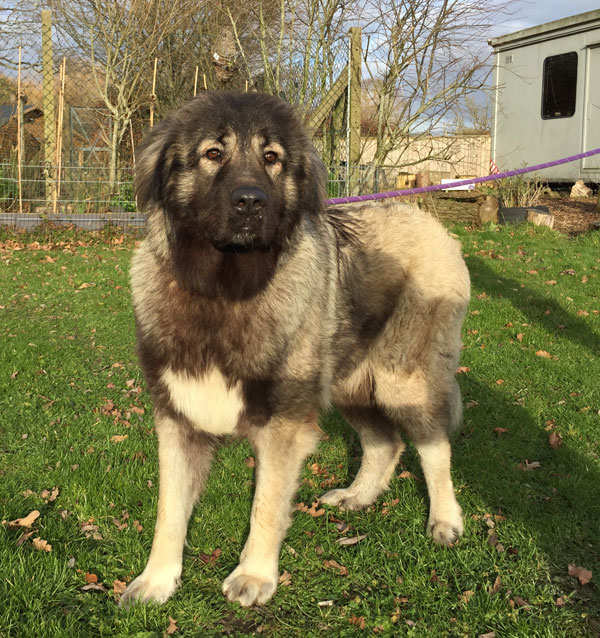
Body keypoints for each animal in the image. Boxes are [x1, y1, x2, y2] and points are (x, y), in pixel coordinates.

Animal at [119, 91, 472, 608]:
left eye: (272, 158)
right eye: (213, 153)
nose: (250, 201)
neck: (224, 292)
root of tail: (433, 224)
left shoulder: (283, 424)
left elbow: (265, 504)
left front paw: (254, 574)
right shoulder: (178, 419)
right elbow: (170, 511)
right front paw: (157, 580)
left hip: (402, 381)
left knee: (434, 449)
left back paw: (445, 519)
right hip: (349, 383)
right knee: (385, 443)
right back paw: (357, 496)